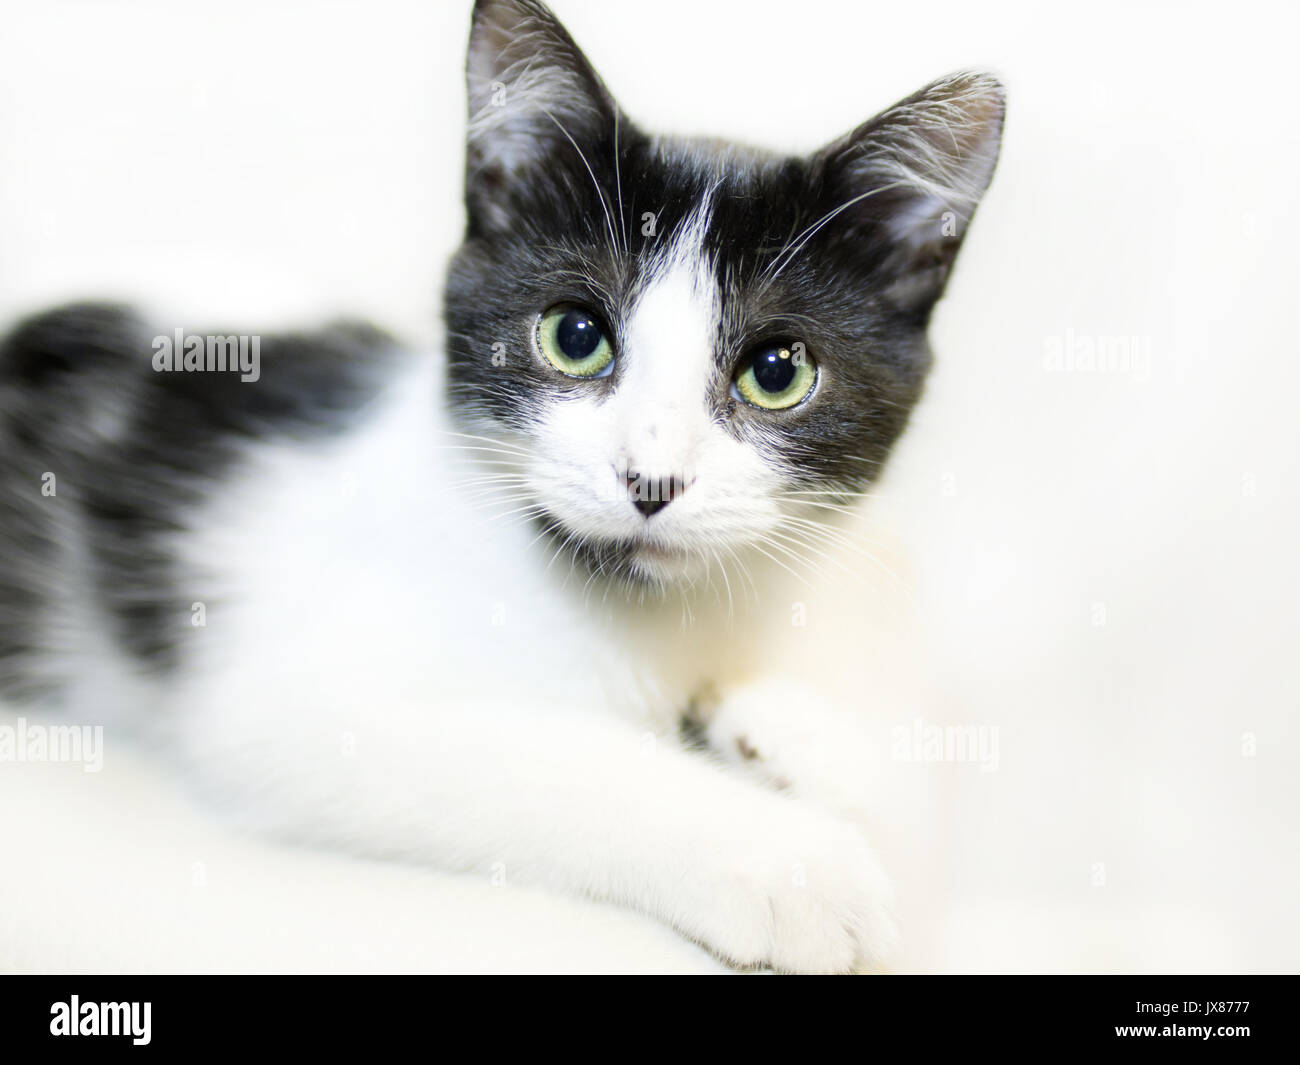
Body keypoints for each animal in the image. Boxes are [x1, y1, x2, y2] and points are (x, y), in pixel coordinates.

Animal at [0, 0, 1003, 972]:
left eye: (777, 371)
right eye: (574, 335)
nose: (650, 479)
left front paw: (792, 737)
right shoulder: (291, 706)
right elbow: (553, 758)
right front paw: (791, 864)